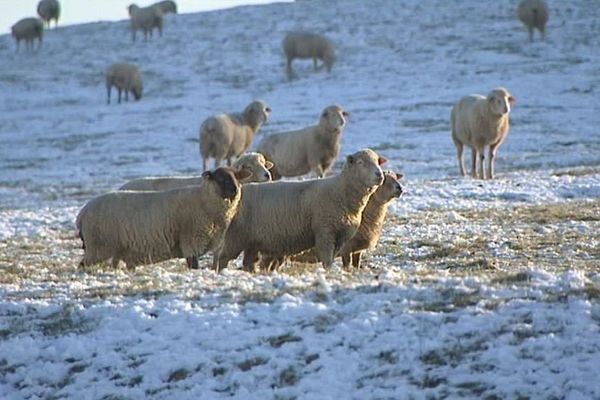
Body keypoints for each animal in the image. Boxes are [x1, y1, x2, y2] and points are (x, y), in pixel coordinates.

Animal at [76, 166, 250, 268]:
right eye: (220, 178)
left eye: (236, 176)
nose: (235, 189)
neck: (203, 199)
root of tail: (82, 213)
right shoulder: (191, 241)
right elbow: (193, 265)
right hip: (99, 246)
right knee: (83, 266)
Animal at [213, 148, 386, 274]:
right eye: (361, 162)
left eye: (378, 161)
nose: (379, 174)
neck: (341, 191)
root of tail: (242, 189)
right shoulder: (325, 232)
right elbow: (327, 259)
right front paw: (328, 273)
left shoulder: (341, 236)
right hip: (236, 236)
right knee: (223, 257)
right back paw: (221, 273)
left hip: (252, 241)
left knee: (248, 262)